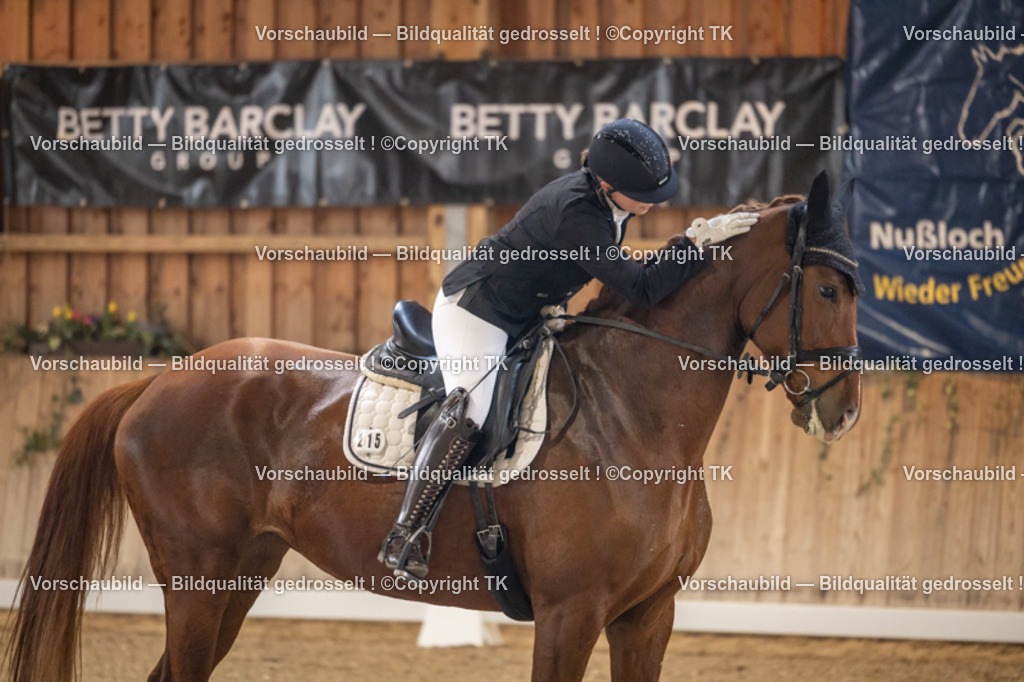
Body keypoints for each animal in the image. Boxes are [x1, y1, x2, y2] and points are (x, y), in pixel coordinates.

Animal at [5, 178, 862, 682]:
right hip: (194, 577)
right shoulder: (571, 613)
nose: (844, 410)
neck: (635, 421)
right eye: (826, 288)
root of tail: (160, 377)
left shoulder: (648, 616)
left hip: (239, 575)